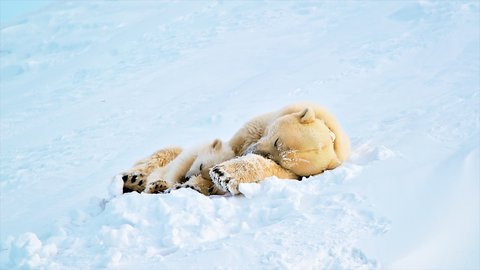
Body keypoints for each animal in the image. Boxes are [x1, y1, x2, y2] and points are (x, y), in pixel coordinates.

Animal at [209, 103, 348, 194]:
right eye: (277, 141)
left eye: (282, 163)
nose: (252, 151)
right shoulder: (258, 126)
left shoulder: (295, 174)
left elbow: (275, 171)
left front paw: (222, 175)